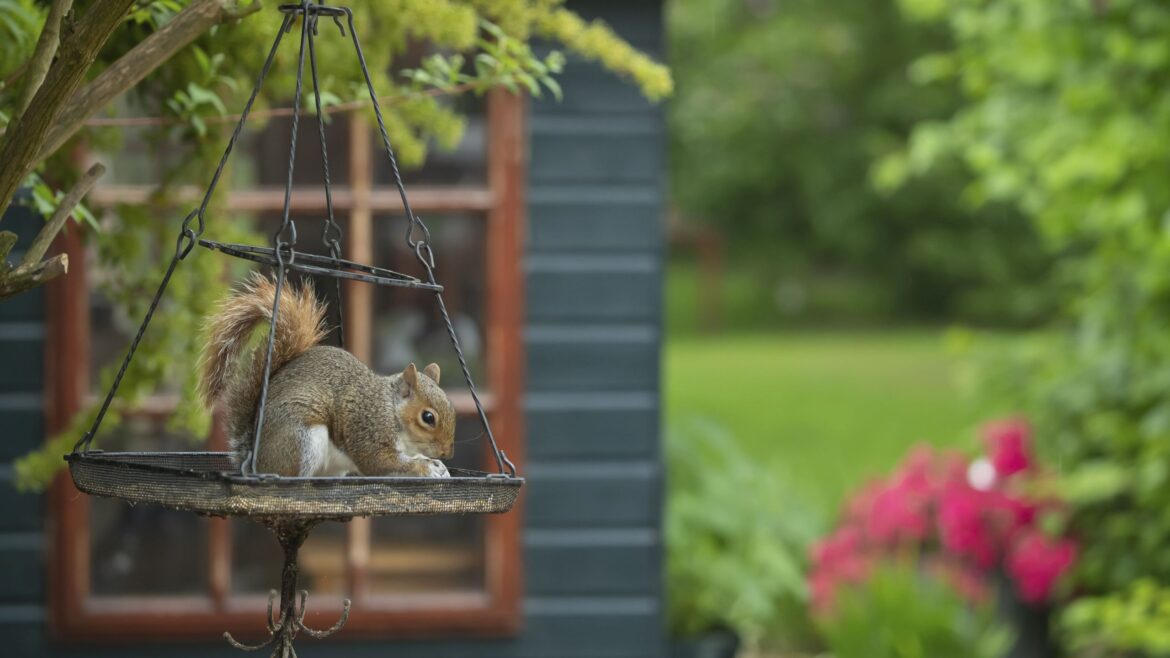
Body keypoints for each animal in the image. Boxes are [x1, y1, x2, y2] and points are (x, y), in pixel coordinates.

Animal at [197, 273, 456, 478]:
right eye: (428, 417)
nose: (447, 452)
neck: (393, 411)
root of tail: (252, 460)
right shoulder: (369, 427)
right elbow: (379, 462)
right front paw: (426, 467)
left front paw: (437, 465)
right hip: (301, 440)